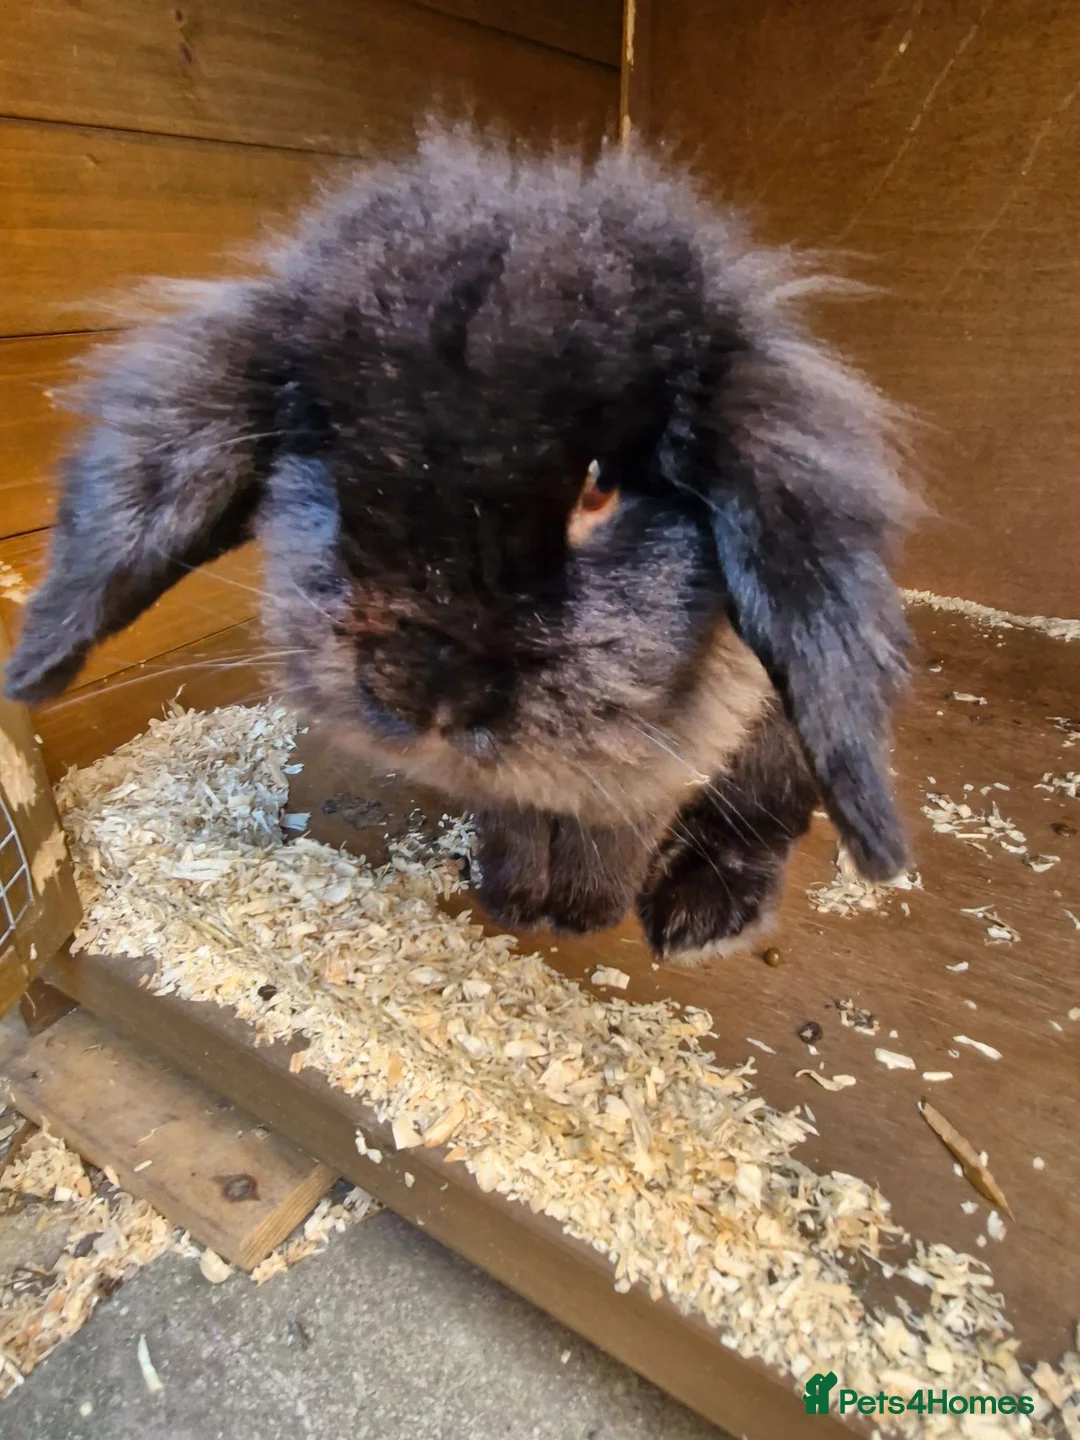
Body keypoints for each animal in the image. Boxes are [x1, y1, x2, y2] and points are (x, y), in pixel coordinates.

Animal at [4, 124, 914, 959]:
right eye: (332, 455)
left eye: (597, 485)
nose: (416, 688)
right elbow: (514, 822)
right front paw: (512, 898)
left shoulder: (667, 749)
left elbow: (611, 831)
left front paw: (584, 914)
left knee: (767, 816)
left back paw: (701, 913)